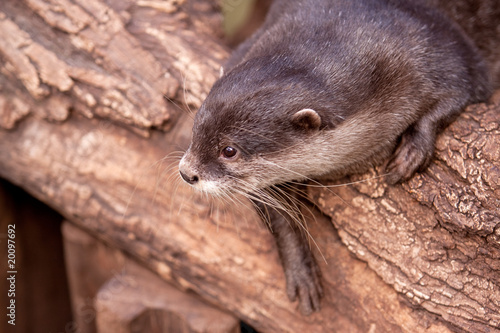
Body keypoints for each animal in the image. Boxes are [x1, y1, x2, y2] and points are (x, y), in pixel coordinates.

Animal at [179, 0, 496, 314]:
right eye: (197, 126)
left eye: (229, 151)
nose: (186, 172)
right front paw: (300, 271)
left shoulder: (441, 53)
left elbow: (462, 91)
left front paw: (413, 151)